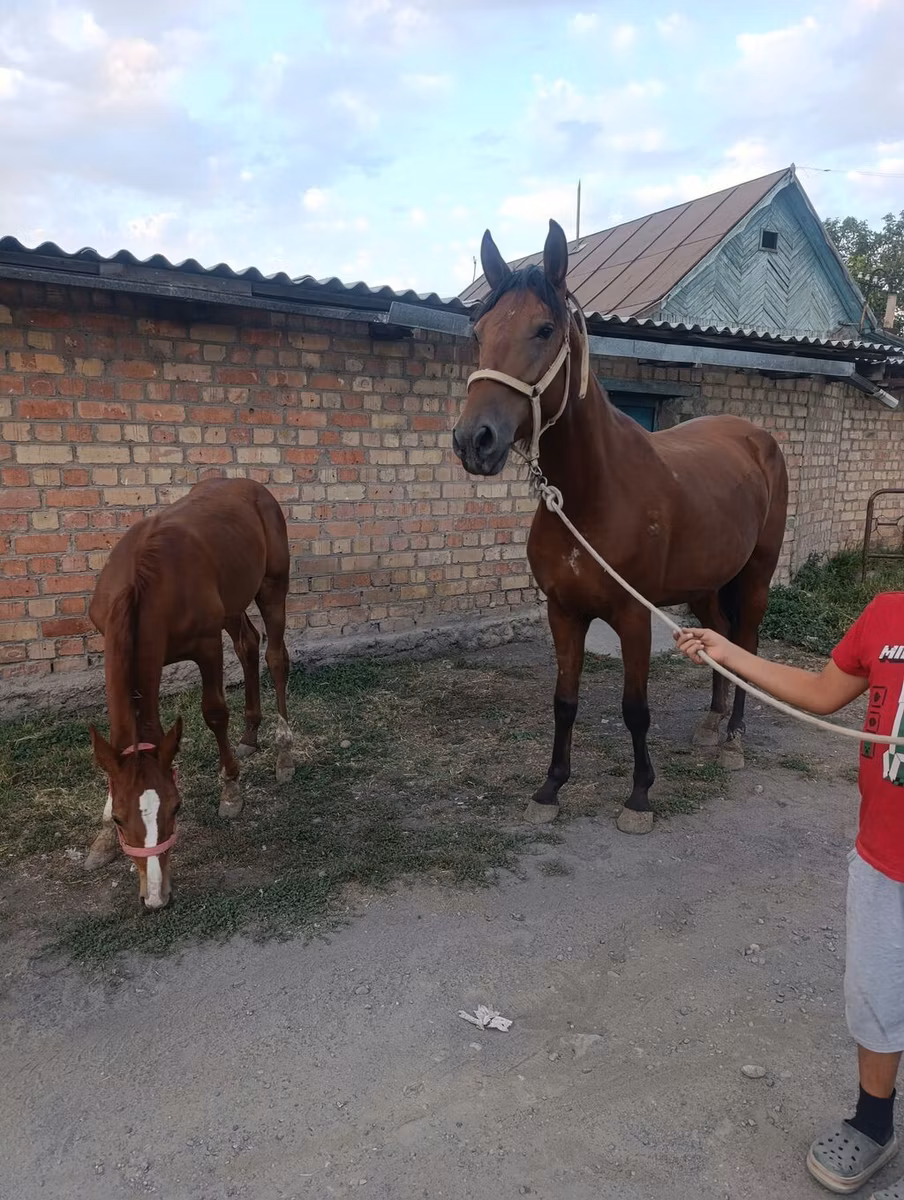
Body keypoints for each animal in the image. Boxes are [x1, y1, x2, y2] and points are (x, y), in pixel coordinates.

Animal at [84, 476, 295, 908]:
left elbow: (214, 712)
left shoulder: (206, 646)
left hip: (271, 587)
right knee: (248, 644)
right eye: (120, 818)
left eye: (177, 808)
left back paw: (283, 752)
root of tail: (253, 487)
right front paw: (103, 837)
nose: (155, 896)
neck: (142, 585)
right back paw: (250, 735)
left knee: (275, 657)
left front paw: (230, 791)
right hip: (231, 602)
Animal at [452, 219, 789, 835]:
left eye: (544, 329)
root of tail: (756, 438)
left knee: (747, 640)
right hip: (704, 585)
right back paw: (711, 724)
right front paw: (550, 789)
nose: (474, 441)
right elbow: (564, 700)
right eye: (479, 330)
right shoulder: (563, 613)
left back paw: (732, 738)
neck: (591, 496)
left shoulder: (633, 616)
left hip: (755, 575)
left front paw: (638, 798)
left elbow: (635, 709)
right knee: (720, 637)